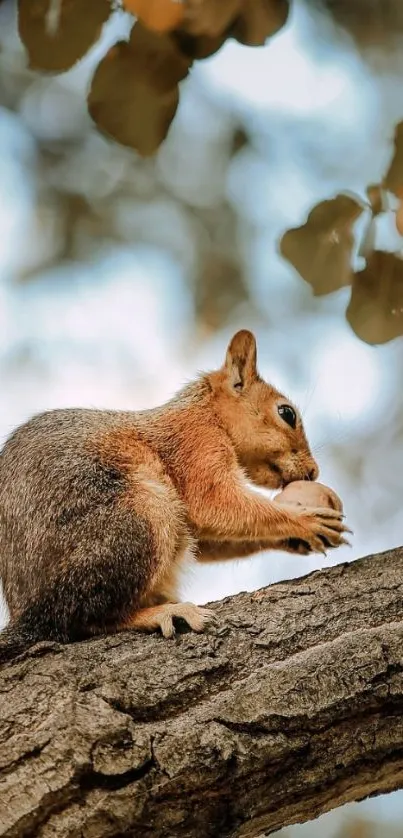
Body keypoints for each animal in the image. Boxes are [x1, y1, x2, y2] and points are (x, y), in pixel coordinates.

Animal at [0, 330, 348, 664]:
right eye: (286, 413)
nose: (313, 472)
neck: (208, 412)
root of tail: (26, 616)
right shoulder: (195, 445)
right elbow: (214, 504)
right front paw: (305, 521)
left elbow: (207, 536)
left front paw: (295, 538)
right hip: (141, 518)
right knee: (79, 621)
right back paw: (160, 613)